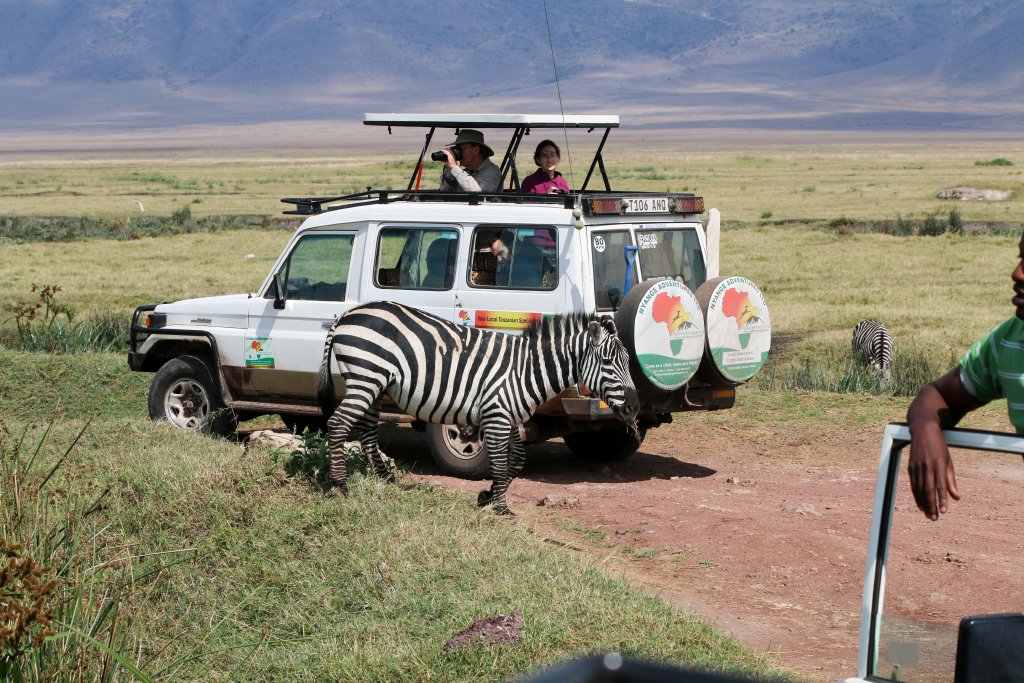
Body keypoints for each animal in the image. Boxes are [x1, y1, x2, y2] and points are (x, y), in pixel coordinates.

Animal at [316, 301, 640, 515]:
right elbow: (499, 461)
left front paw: (487, 495)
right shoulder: (496, 415)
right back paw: (340, 486)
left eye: (627, 361)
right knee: (338, 425)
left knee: (368, 433)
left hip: (376, 384)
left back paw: (386, 480)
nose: (635, 406)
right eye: (608, 362)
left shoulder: (509, 417)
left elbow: (517, 460)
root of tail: (346, 314)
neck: (524, 370)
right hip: (366, 377)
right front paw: (501, 508)